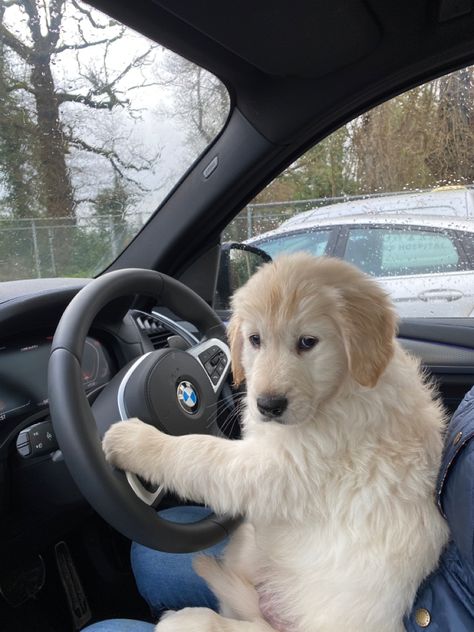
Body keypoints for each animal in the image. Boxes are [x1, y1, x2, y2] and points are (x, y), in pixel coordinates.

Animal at [103, 253, 448, 632]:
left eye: (308, 342)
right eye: (255, 339)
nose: (267, 405)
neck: (340, 391)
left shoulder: (271, 466)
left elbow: (198, 450)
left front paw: (132, 440)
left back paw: (183, 618)